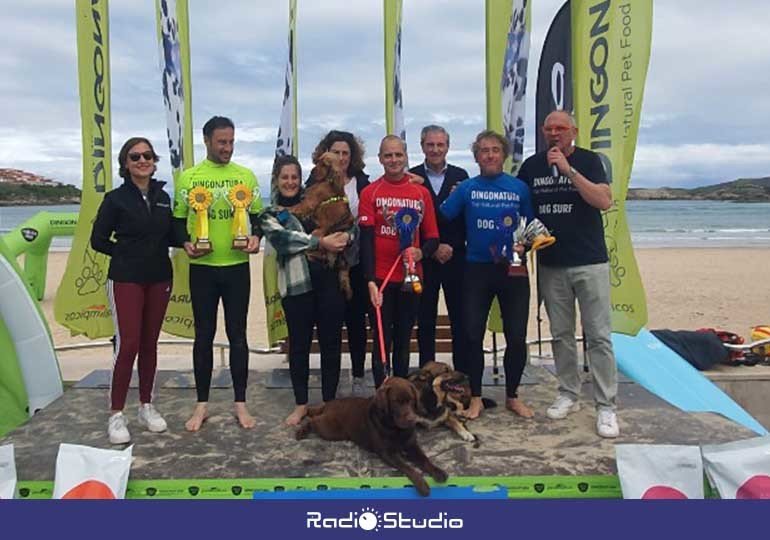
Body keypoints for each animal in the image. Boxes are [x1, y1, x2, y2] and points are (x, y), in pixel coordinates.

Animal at [288, 152, 354, 300]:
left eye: (324, 164)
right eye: (317, 161)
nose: (312, 172)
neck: (328, 181)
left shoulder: (308, 203)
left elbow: (293, 207)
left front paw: (279, 208)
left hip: (317, 233)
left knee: (312, 251)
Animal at [296, 376, 450, 498]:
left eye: (411, 400)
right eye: (396, 401)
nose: (412, 419)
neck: (395, 428)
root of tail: (328, 404)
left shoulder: (412, 445)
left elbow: (424, 460)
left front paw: (438, 472)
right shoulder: (387, 453)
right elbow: (408, 467)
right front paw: (422, 484)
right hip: (330, 430)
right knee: (312, 419)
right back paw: (301, 431)